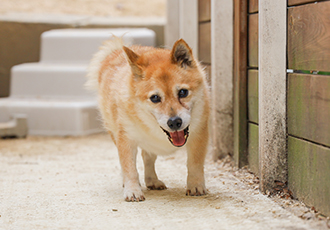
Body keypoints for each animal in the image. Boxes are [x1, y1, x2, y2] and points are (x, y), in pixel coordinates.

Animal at [86, 37, 210, 201]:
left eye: (183, 92)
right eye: (155, 98)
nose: (174, 122)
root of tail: (115, 52)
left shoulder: (199, 136)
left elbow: (195, 164)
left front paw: (196, 185)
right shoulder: (126, 139)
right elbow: (129, 168)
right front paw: (132, 189)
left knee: (148, 158)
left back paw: (152, 180)